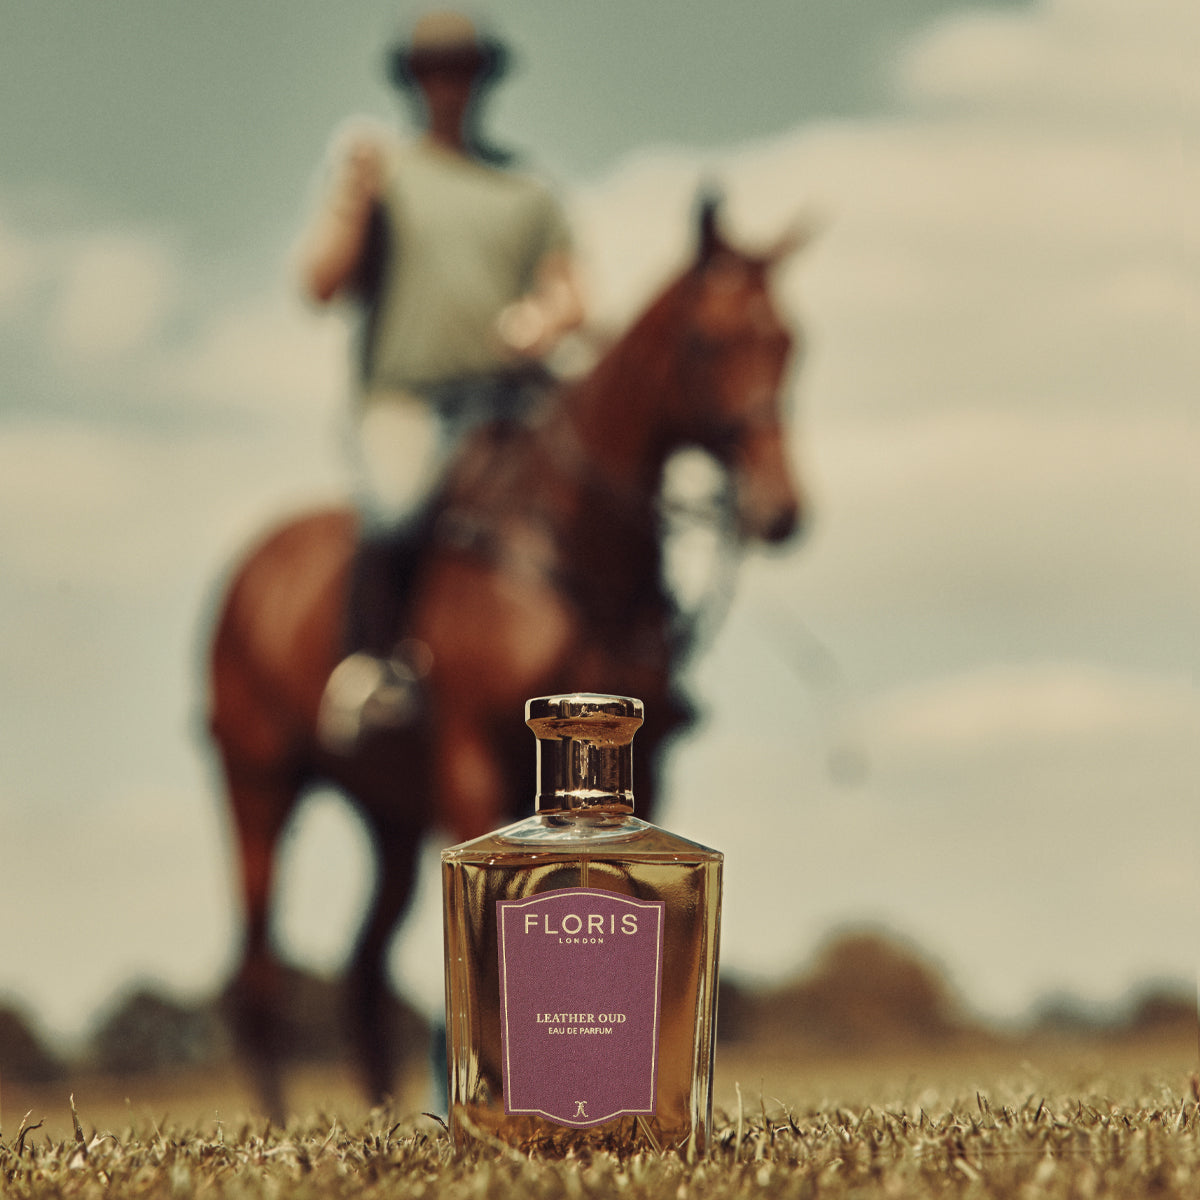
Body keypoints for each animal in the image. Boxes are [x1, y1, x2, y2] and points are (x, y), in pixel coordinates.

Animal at [206, 201, 811, 1118]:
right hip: (259, 783)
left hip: (388, 813)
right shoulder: (467, 755)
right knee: (258, 972)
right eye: (708, 341)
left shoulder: (653, 765)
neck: (575, 549)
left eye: (790, 342)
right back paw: (278, 1116)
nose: (782, 511)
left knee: (360, 968)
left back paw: (388, 1109)